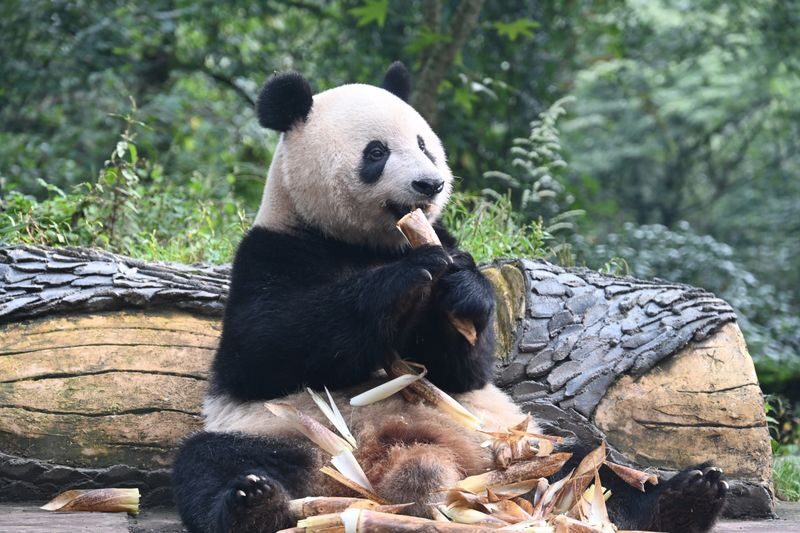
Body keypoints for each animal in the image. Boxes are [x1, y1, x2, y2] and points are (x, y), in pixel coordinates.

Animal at [172, 62, 728, 533]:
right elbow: (264, 347)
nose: (430, 183)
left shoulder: (448, 241)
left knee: (587, 465)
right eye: (376, 152)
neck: (366, 244)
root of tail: (403, 468)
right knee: (212, 464)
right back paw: (255, 503)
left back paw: (686, 496)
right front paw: (405, 280)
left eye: (424, 144)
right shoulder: (270, 252)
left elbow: (465, 369)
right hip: (282, 433)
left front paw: (462, 292)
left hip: (511, 443)